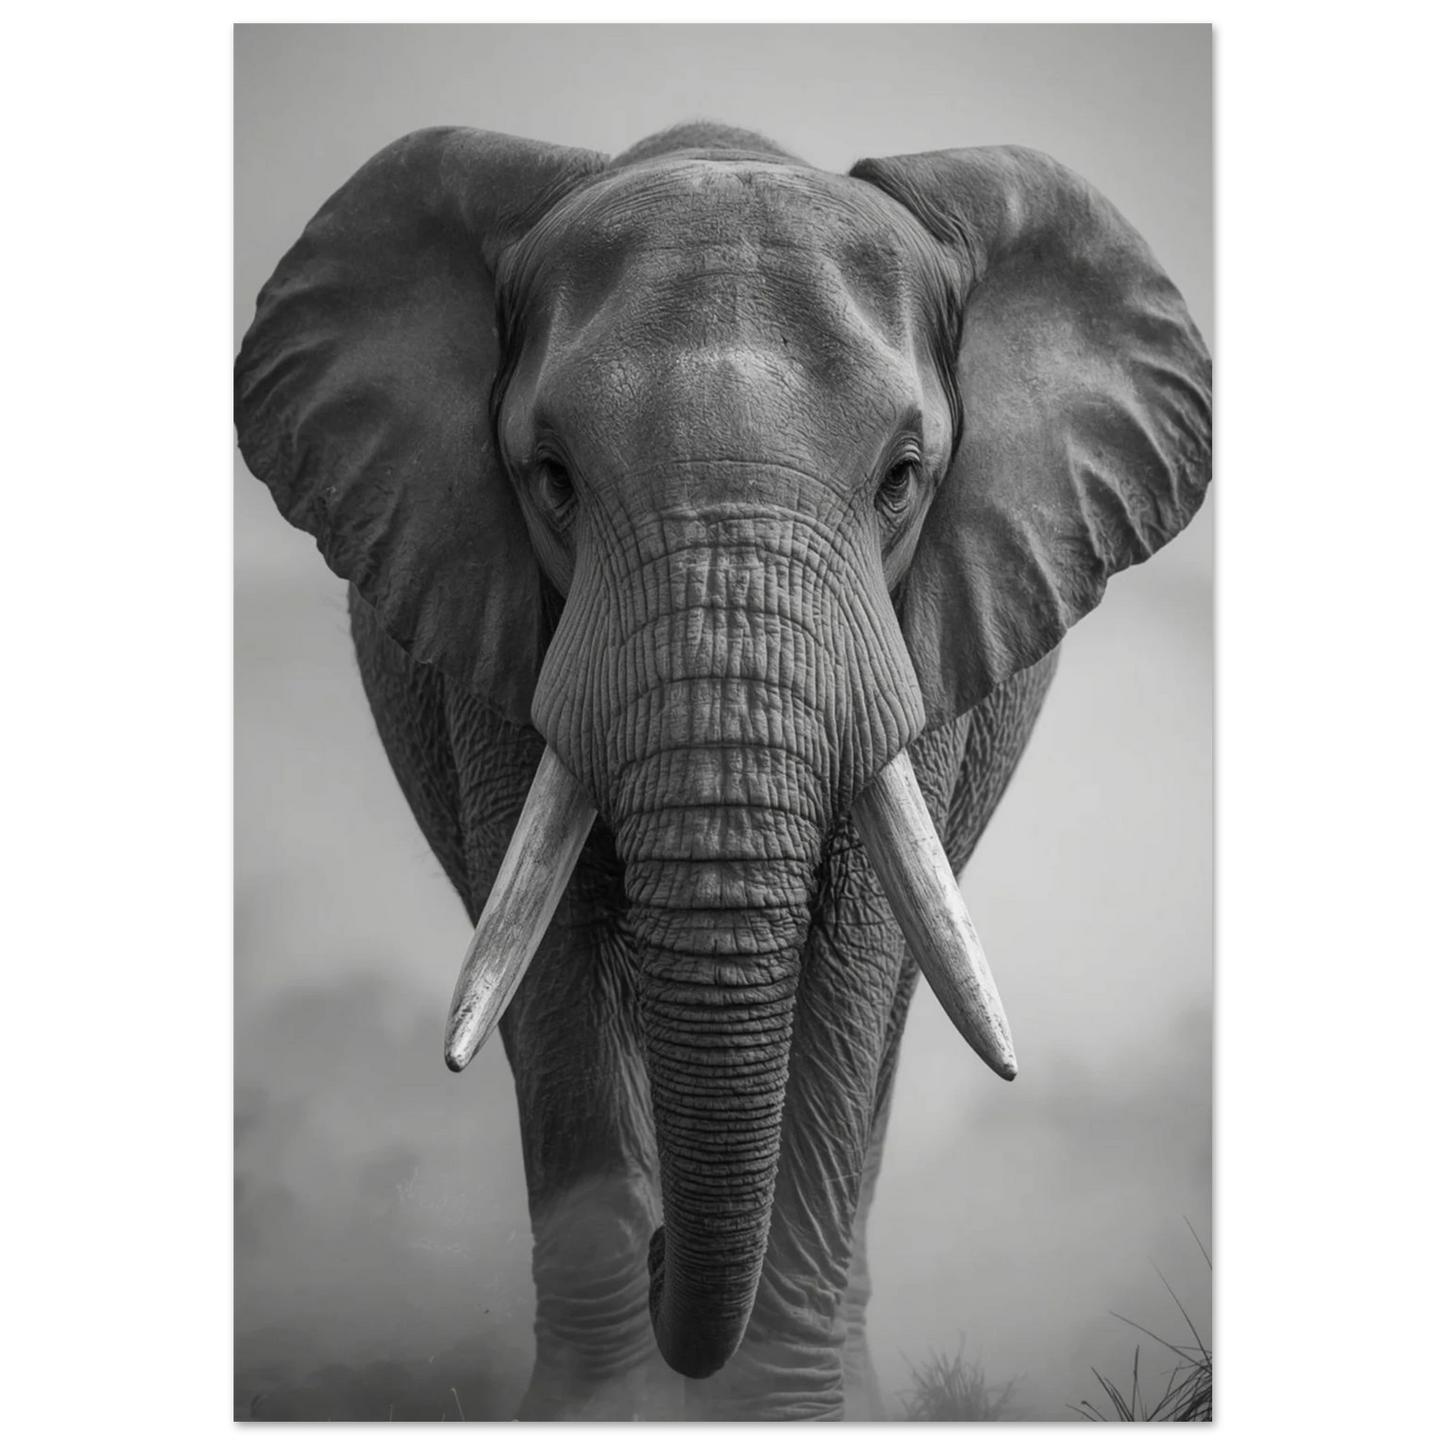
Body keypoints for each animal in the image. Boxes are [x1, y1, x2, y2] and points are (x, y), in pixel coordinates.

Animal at [234, 120, 1212, 1422]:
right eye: (551, 477)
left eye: (901, 479)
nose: (662, 1254)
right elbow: (550, 969)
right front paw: (600, 1413)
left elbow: (848, 971)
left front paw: (786, 1416)